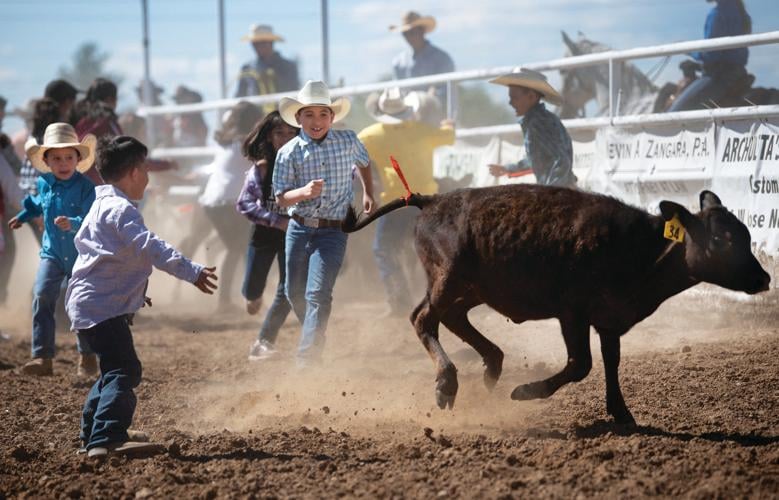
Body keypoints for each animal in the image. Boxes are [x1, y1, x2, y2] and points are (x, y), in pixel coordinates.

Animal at [344, 186, 772, 424]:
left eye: (746, 235)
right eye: (721, 241)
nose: (764, 279)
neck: (636, 248)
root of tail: (432, 201)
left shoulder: (609, 319)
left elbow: (611, 362)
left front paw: (621, 413)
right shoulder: (573, 314)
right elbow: (580, 364)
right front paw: (527, 392)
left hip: (470, 288)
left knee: (448, 317)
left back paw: (492, 365)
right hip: (448, 279)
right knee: (424, 318)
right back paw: (448, 382)